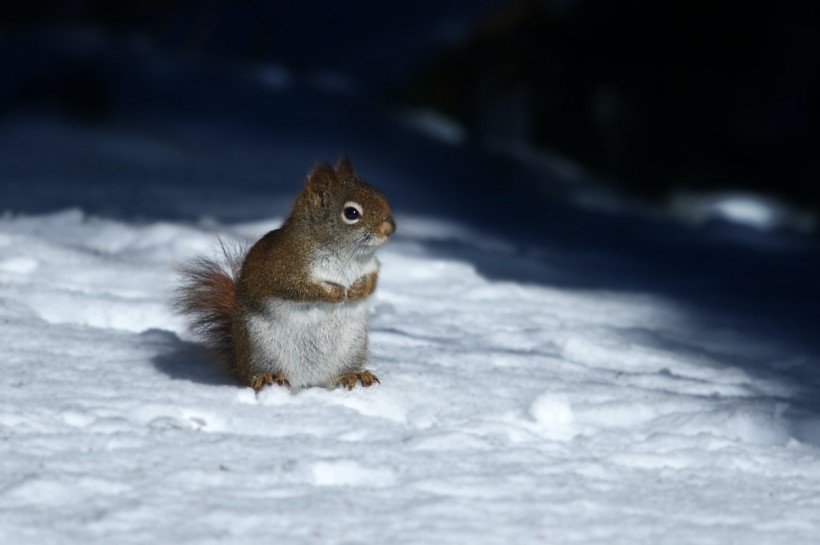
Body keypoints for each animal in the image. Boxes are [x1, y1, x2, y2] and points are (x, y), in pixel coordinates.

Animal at [176, 157, 398, 392]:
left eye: (379, 194)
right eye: (351, 213)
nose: (390, 229)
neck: (347, 254)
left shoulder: (371, 266)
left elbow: (373, 281)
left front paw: (359, 290)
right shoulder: (282, 267)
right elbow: (298, 289)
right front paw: (333, 293)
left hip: (353, 345)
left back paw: (352, 375)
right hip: (259, 347)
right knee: (253, 375)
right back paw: (269, 377)